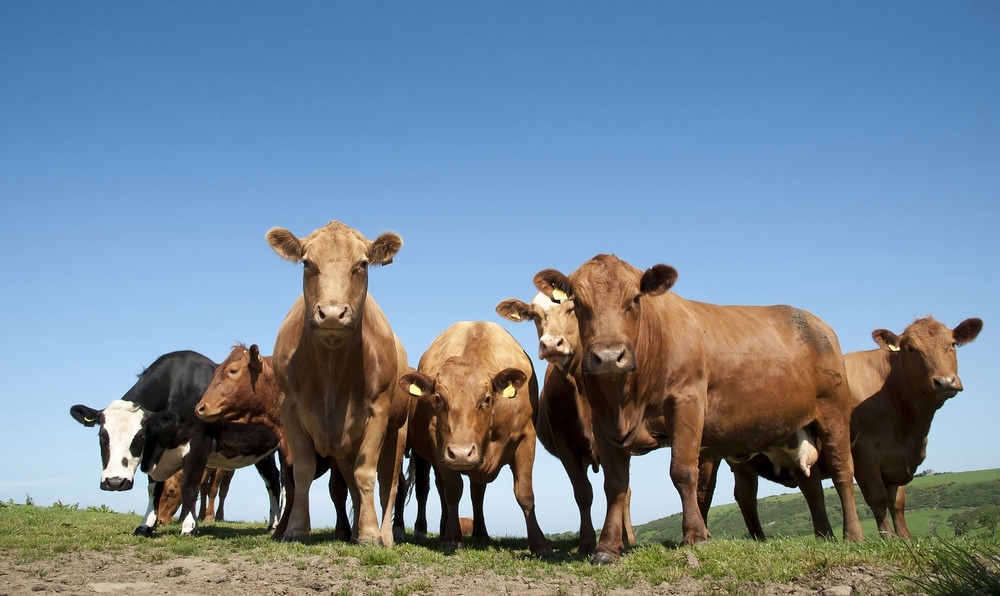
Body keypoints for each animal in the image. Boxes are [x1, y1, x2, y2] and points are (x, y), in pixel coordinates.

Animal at [70, 350, 283, 536]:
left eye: (140, 437)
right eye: (102, 436)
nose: (115, 482)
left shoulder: (198, 444)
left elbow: (189, 485)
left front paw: (189, 527)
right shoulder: (156, 452)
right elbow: (153, 489)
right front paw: (146, 525)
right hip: (263, 452)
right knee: (272, 480)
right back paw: (273, 525)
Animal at [266, 221, 410, 546]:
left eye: (362, 265)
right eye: (307, 263)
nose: (332, 314)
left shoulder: (378, 413)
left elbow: (366, 473)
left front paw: (370, 535)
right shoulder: (289, 410)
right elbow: (303, 472)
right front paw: (295, 529)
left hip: (398, 432)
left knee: (390, 483)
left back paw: (384, 534)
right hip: (344, 444)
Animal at [400, 321, 553, 557]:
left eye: (487, 399)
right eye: (438, 399)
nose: (462, 453)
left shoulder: (526, 438)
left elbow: (525, 494)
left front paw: (540, 544)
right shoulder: (439, 445)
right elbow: (453, 491)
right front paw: (451, 539)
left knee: (475, 492)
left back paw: (479, 533)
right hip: (423, 455)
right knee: (427, 489)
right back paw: (428, 530)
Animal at [495, 289, 635, 555]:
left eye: (573, 307)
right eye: (534, 315)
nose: (551, 344)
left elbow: (617, 488)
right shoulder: (565, 446)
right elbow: (583, 492)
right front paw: (587, 543)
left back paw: (628, 539)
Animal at [535, 254, 864, 563]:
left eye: (636, 298)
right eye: (578, 302)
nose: (608, 356)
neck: (626, 399)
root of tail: (814, 321)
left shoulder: (687, 405)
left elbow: (682, 473)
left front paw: (695, 537)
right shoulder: (603, 422)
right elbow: (615, 485)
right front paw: (606, 549)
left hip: (833, 411)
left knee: (842, 471)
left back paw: (853, 536)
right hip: (795, 429)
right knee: (811, 485)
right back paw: (824, 535)